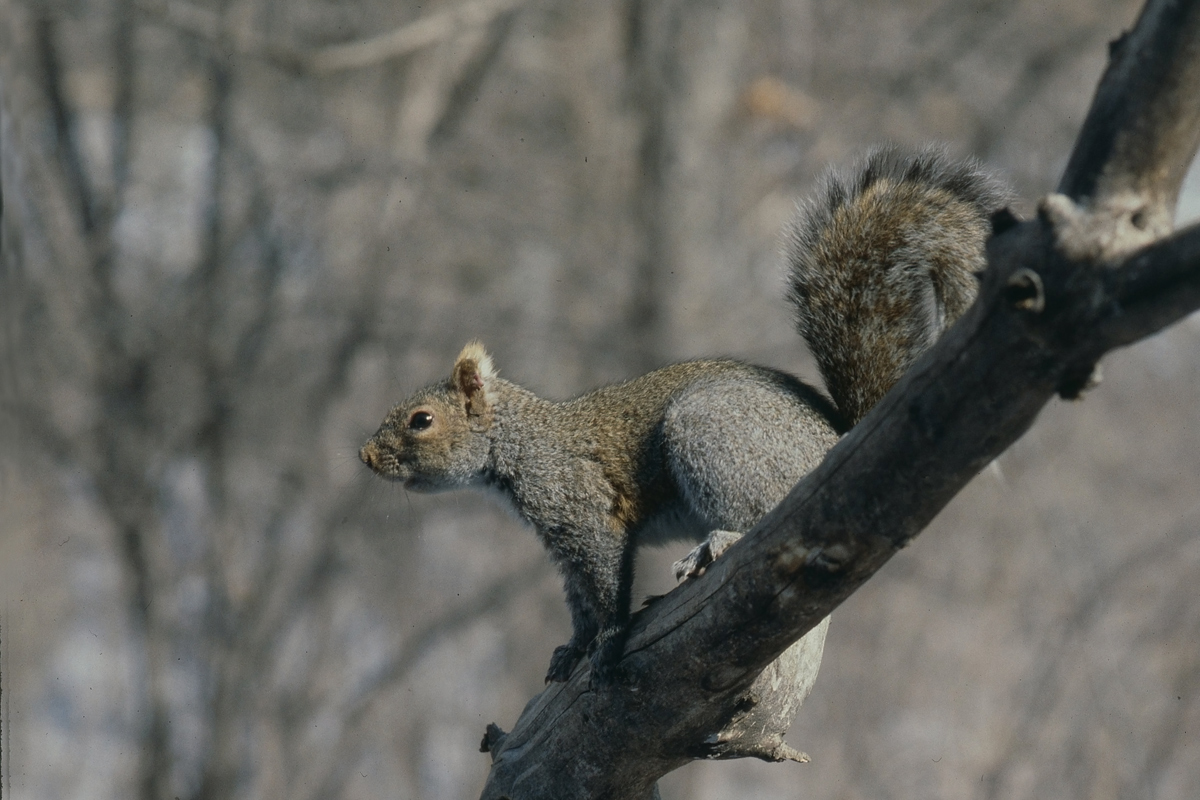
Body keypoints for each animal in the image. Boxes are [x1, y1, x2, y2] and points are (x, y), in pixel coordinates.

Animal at [360, 146, 1010, 685]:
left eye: (421, 420)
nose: (365, 456)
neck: (519, 440)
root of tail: (839, 439)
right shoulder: (560, 543)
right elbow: (578, 601)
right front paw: (573, 647)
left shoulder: (581, 507)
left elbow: (606, 585)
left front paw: (607, 642)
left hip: (710, 436)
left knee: (761, 516)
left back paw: (715, 543)